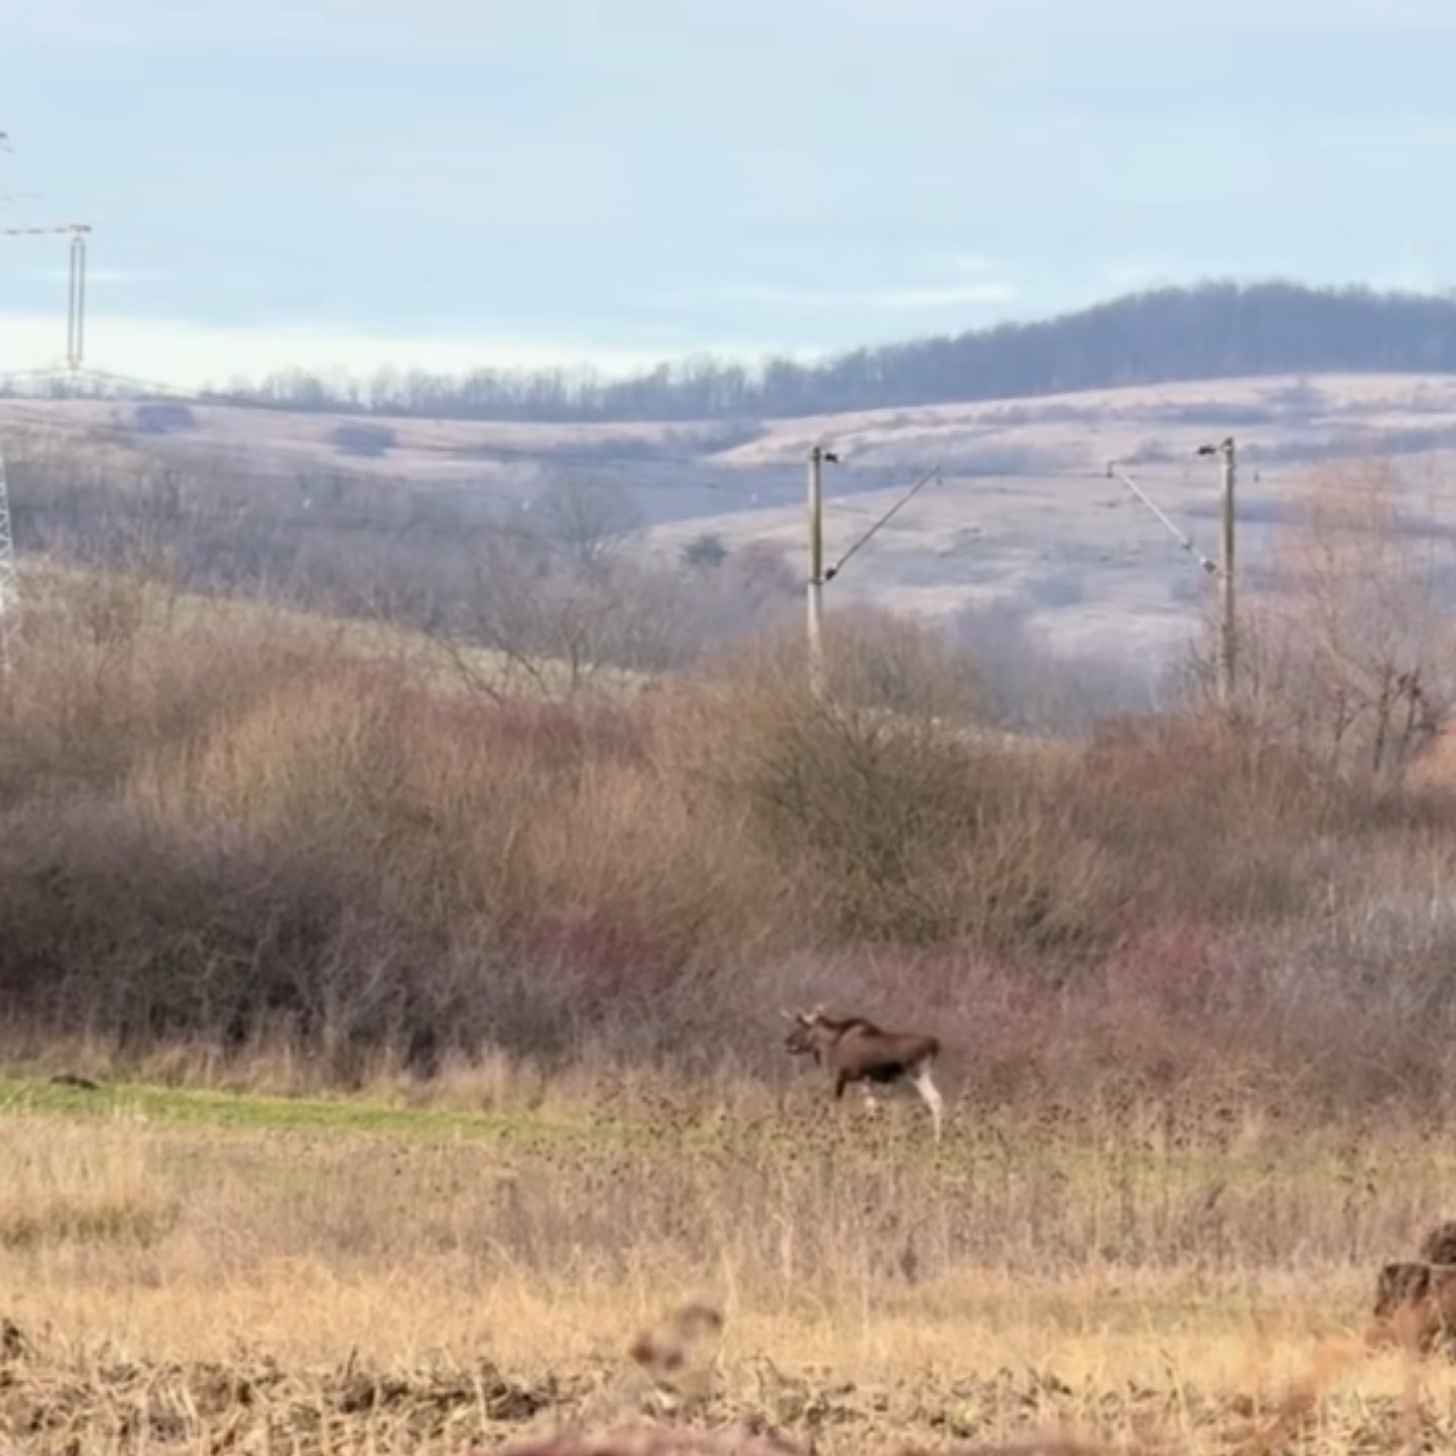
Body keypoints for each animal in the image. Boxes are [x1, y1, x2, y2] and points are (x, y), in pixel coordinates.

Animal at [781, 1005, 944, 1143]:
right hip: (923, 1074)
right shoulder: (865, 1081)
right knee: (936, 1099)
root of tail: (935, 1045)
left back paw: (936, 1139)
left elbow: (836, 1109)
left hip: (918, 1074)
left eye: (802, 1027)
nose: (787, 1042)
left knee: (934, 1099)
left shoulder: (841, 1078)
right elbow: (871, 1109)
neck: (829, 1044)